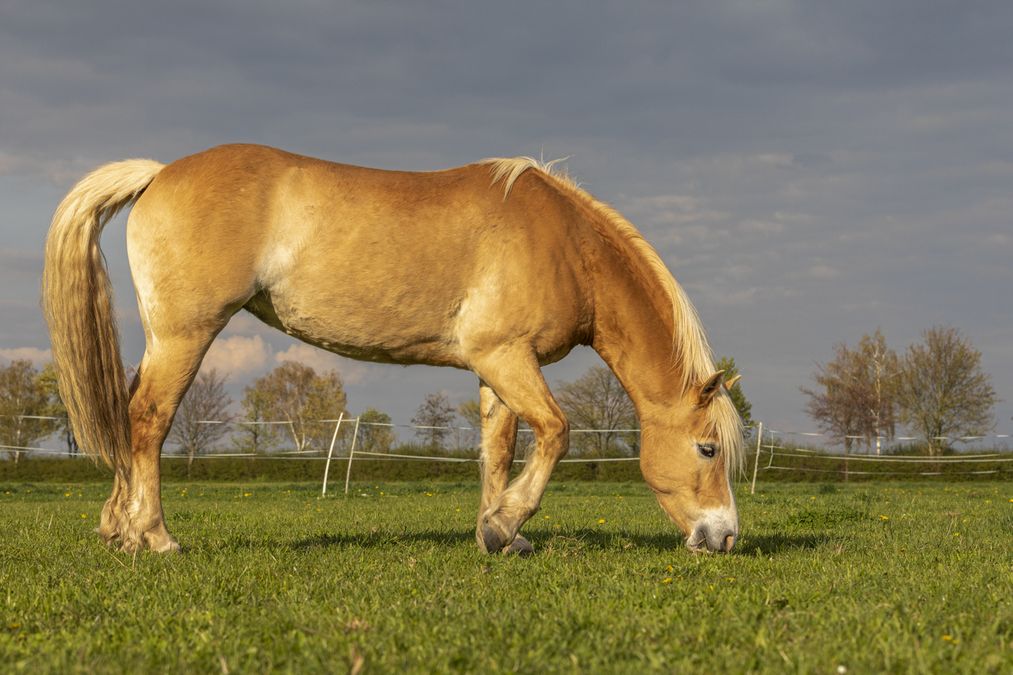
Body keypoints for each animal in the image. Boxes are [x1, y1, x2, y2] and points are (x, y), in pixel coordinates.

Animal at [43, 141, 745, 551]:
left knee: (128, 415)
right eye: (707, 448)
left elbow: (498, 449)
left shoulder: (496, 368)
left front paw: (497, 534)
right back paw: (155, 537)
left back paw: (117, 529)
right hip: (185, 335)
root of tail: (158, 175)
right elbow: (556, 431)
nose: (725, 537)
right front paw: (506, 524)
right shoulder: (507, 359)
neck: (566, 245)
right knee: (148, 420)